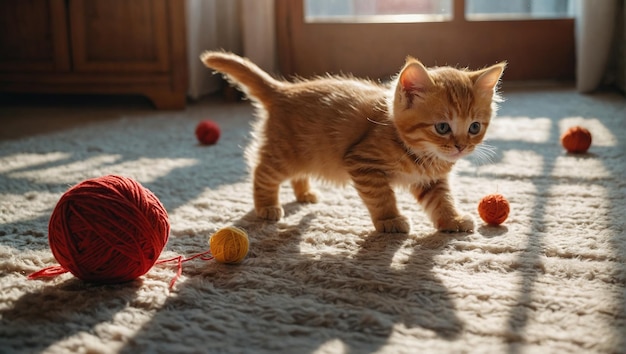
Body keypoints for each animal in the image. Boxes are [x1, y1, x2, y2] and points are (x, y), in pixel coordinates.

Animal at [202, 49, 504, 232]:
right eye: (442, 127)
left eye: (474, 127)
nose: (462, 146)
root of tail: (283, 90)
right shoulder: (362, 162)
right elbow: (382, 196)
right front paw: (390, 220)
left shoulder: (432, 180)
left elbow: (442, 200)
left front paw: (451, 220)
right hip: (285, 154)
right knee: (262, 172)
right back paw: (266, 206)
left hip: (303, 153)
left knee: (295, 173)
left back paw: (304, 193)